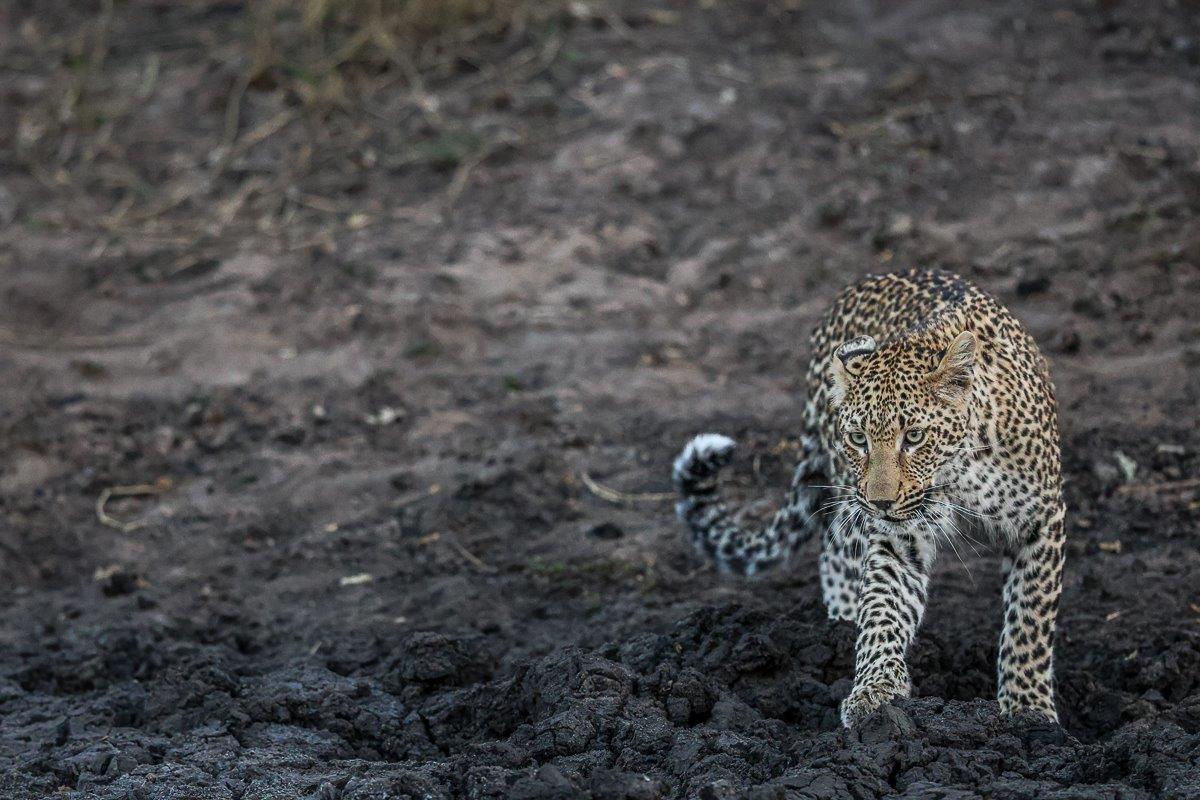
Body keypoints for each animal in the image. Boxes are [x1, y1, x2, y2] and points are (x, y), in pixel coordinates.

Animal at [672, 269, 1065, 728]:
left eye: (914, 436)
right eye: (859, 438)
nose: (881, 502)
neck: (958, 474)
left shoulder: (1042, 519)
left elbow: (1030, 618)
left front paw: (1028, 708)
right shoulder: (900, 535)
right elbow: (883, 604)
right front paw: (875, 689)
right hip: (846, 497)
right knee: (835, 552)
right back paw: (840, 628)